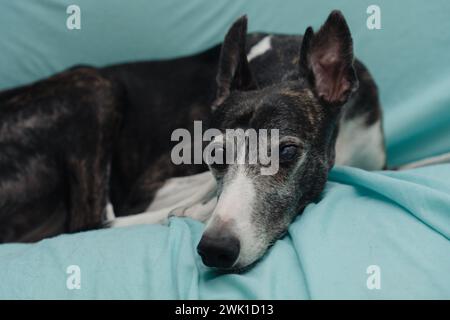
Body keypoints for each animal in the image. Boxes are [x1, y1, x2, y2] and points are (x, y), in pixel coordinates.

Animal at [0, 10, 386, 270]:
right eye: (214, 155)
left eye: (287, 152)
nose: (216, 249)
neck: (279, 64)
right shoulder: (147, 189)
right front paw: (198, 207)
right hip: (94, 85)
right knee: (89, 220)